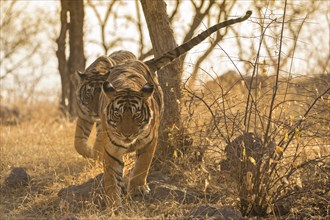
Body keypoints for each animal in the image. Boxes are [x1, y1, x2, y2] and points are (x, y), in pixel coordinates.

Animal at [73, 9, 251, 208]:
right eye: (118, 115)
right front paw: (114, 203)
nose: (127, 134)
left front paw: (138, 188)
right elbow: (110, 175)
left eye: (136, 116)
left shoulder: (150, 140)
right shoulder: (108, 144)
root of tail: (141, 62)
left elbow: (142, 166)